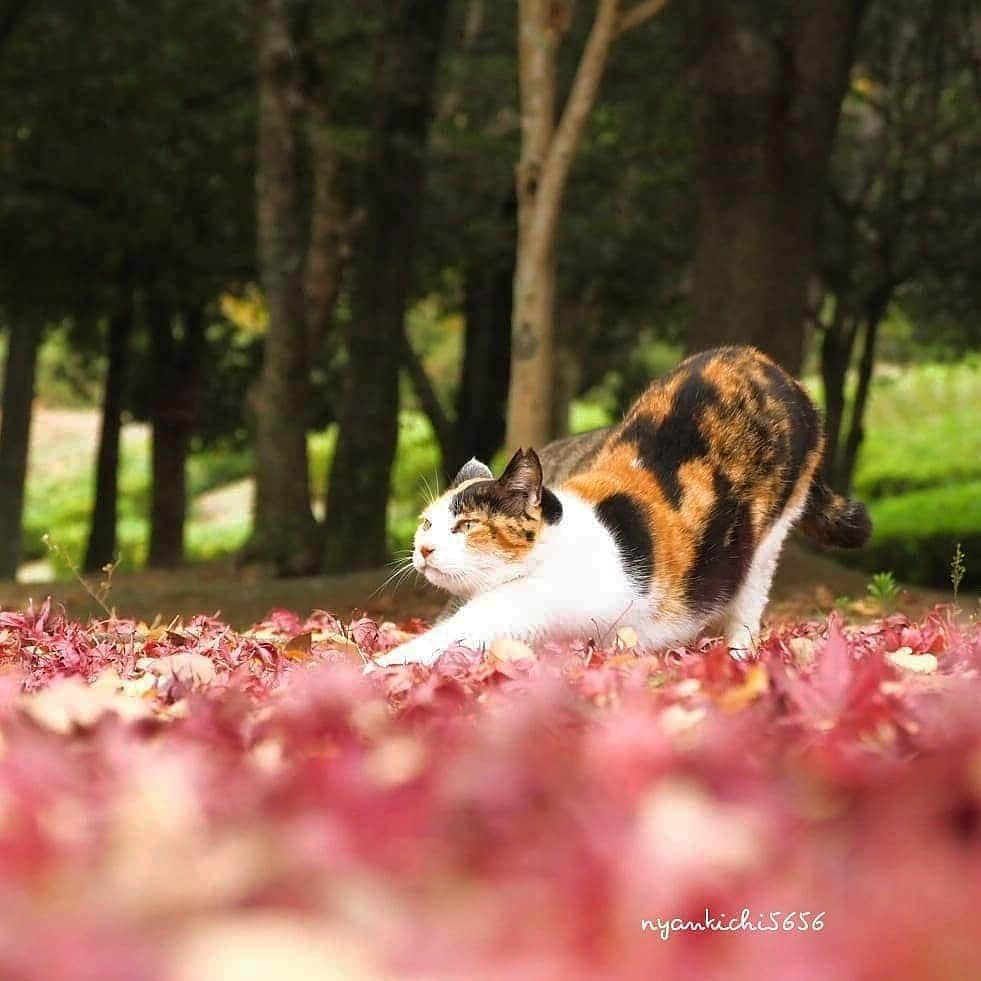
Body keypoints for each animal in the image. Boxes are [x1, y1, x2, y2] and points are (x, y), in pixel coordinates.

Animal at [368, 342, 864, 668]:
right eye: (426, 524)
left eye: (467, 525)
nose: (423, 549)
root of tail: (774, 368)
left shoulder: (524, 608)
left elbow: (450, 637)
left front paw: (374, 670)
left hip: (770, 535)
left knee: (749, 598)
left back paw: (739, 655)